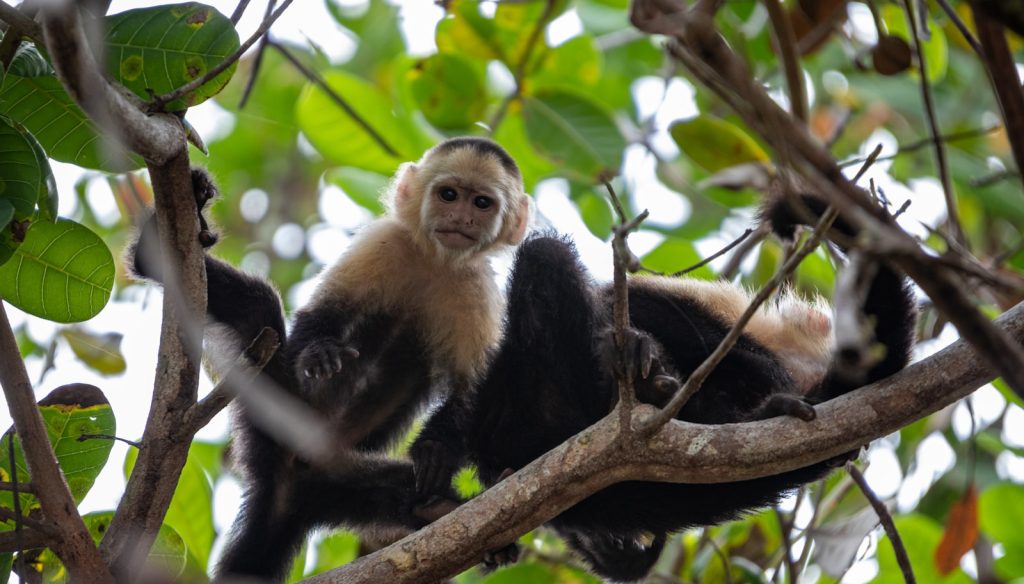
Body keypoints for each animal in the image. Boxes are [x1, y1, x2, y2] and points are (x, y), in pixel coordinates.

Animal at [128, 136, 528, 577]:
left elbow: (470, 389)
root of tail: (289, 482)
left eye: (482, 203)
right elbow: (321, 317)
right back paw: (156, 247)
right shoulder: (383, 243)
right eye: (449, 195)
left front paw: (437, 447)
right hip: (271, 411)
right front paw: (319, 352)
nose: (461, 217)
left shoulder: (479, 292)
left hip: (338, 480)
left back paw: (440, 512)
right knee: (257, 309)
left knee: (394, 490)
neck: (435, 262)